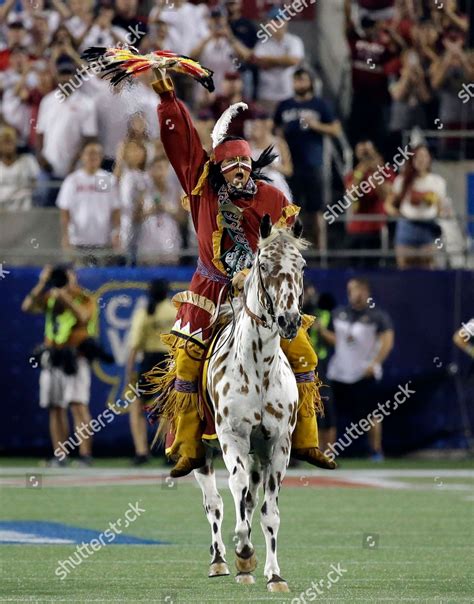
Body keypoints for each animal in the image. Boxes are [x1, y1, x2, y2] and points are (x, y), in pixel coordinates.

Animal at [193, 215, 308, 592]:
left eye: (301, 265)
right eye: (263, 264)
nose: (289, 320)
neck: (257, 368)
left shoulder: (278, 444)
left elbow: (269, 513)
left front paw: (274, 574)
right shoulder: (232, 437)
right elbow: (236, 489)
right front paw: (243, 552)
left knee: (249, 499)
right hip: (201, 450)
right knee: (214, 503)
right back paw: (219, 560)